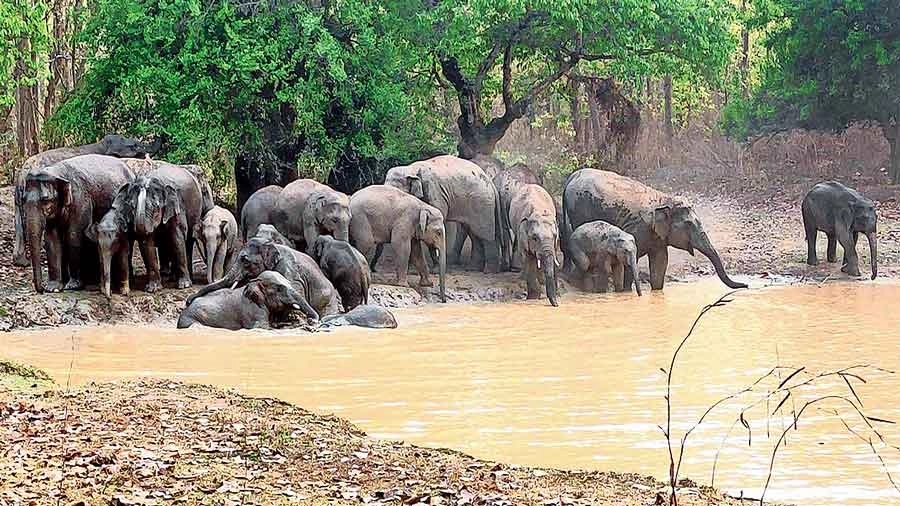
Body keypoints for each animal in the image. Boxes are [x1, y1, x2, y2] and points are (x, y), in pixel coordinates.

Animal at [23, 155, 134, 293]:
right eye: (23, 199)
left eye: (45, 200)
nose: (41, 289)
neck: (56, 172)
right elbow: (51, 239)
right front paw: (53, 288)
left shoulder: (81, 201)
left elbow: (74, 235)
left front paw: (73, 286)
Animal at [113, 162, 210, 292]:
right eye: (132, 206)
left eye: (155, 207)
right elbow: (147, 243)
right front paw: (152, 288)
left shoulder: (177, 206)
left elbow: (177, 239)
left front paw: (184, 285)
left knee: (188, 241)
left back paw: (182, 278)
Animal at [177, 271, 315, 330]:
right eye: (279, 288)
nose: (311, 321)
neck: (254, 280)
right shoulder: (252, 308)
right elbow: (262, 327)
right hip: (190, 319)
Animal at [562, 169, 747, 291]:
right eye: (689, 225)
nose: (746, 285)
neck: (663, 199)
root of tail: (572, 176)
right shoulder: (637, 229)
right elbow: (632, 261)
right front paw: (628, 293)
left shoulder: (658, 237)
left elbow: (660, 262)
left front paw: (656, 292)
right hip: (579, 211)